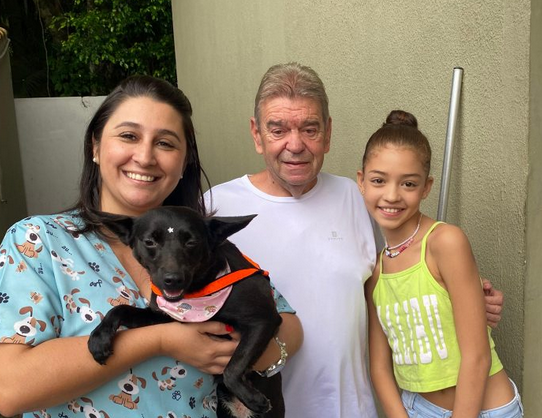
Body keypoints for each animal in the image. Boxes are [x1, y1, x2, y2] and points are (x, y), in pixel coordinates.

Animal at [87, 206, 284, 417]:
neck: (199, 291)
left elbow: (231, 369)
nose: (172, 280)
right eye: (150, 242)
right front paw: (100, 337)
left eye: (191, 242)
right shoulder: (164, 316)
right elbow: (119, 309)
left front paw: (252, 398)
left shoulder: (264, 320)